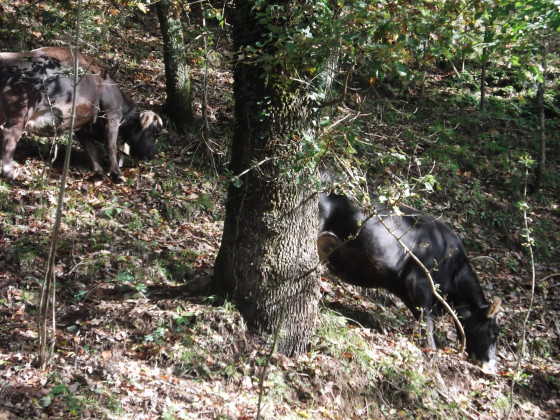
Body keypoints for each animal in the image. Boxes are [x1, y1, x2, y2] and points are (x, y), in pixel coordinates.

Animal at [0, 46, 162, 180]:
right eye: (153, 133)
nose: (152, 154)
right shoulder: (112, 118)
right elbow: (111, 147)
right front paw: (118, 174)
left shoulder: (82, 126)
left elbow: (92, 151)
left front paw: (99, 173)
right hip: (20, 114)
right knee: (9, 135)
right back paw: (9, 172)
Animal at [320, 192, 504, 362]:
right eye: (494, 331)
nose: (491, 362)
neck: (454, 272)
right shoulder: (419, 282)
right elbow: (428, 321)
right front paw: (433, 350)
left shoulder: (404, 286)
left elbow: (420, 316)